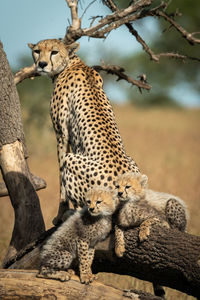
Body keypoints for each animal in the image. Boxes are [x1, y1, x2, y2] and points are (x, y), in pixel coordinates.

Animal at [28, 38, 139, 223]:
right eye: (37, 51)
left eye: (54, 52)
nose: (42, 64)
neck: (71, 63)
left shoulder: (61, 135)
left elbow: (61, 181)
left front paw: (60, 215)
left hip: (72, 160)